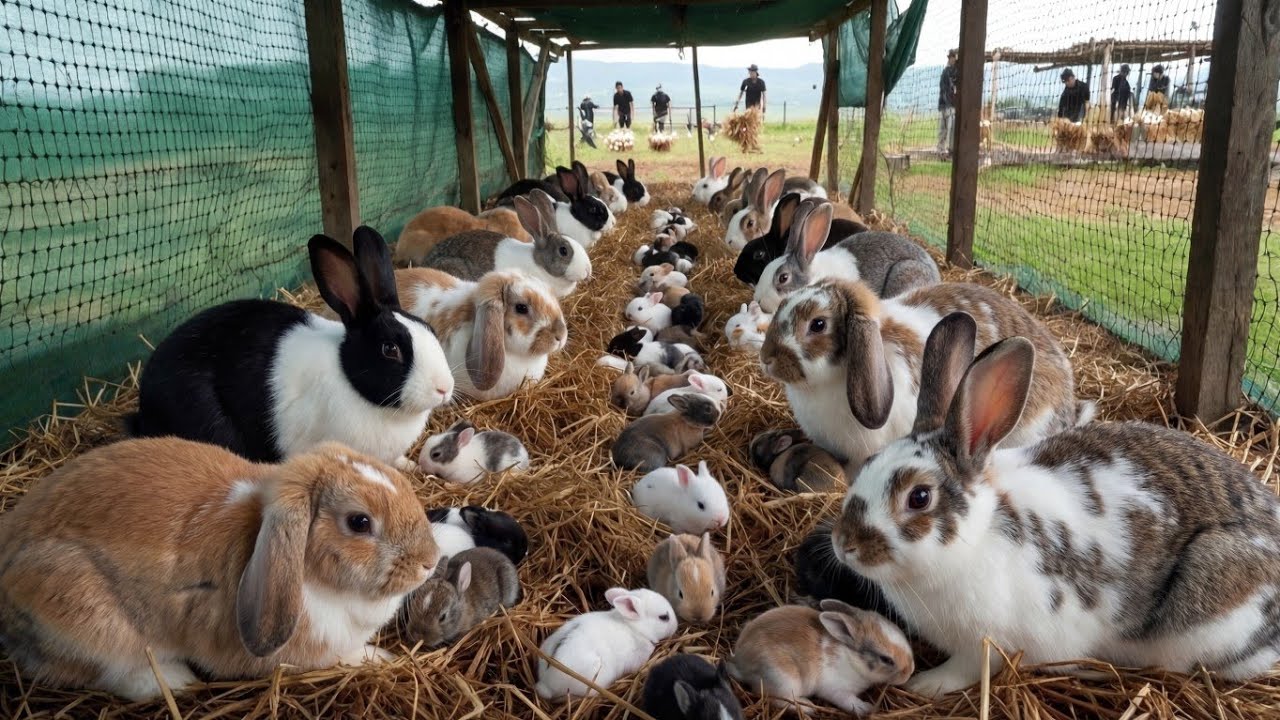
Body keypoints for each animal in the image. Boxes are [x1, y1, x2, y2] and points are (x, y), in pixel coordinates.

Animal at [0, 438, 439, 701]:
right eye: (359, 522)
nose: (429, 561)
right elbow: (345, 656)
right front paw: (380, 657)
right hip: (84, 618)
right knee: (109, 671)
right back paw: (175, 680)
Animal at [726, 600, 913, 715]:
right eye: (886, 659)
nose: (910, 671)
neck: (852, 658)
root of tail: (740, 664)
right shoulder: (837, 690)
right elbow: (848, 700)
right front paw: (865, 708)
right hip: (783, 679)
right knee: (776, 699)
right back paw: (807, 707)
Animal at [829, 332, 1280, 699]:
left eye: (919, 497)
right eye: (868, 463)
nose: (844, 544)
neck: (977, 535)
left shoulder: (988, 643)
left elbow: (966, 669)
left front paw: (927, 685)